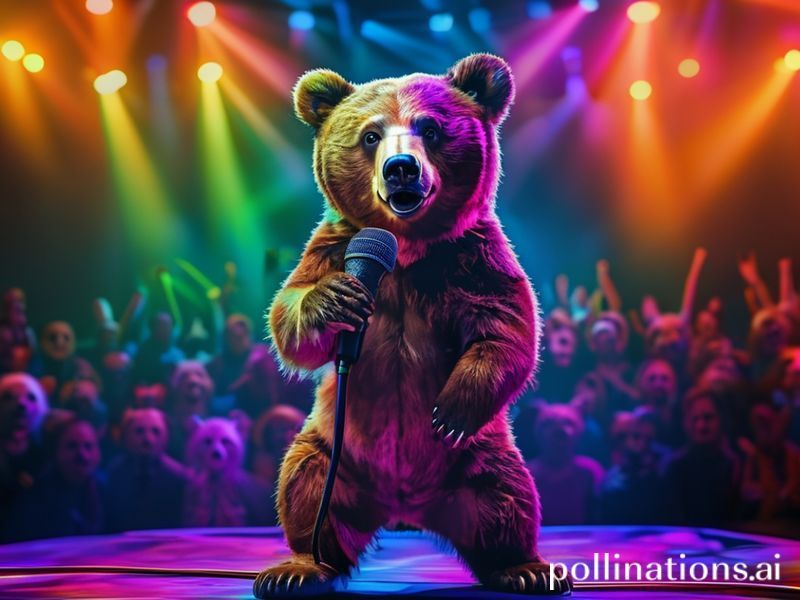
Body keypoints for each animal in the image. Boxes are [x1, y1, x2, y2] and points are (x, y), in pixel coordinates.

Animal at [254, 54, 571, 597]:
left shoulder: (472, 258)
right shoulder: (335, 246)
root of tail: (404, 511)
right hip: (335, 452)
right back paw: (297, 568)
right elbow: (290, 314)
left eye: (431, 128)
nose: (401, 167)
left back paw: (525, 567)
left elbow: (506, 329)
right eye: (370, 135)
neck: (404, 251)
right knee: (303, 486)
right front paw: (334, 300)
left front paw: (450, 409)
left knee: (508, 496)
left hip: (480, 458)